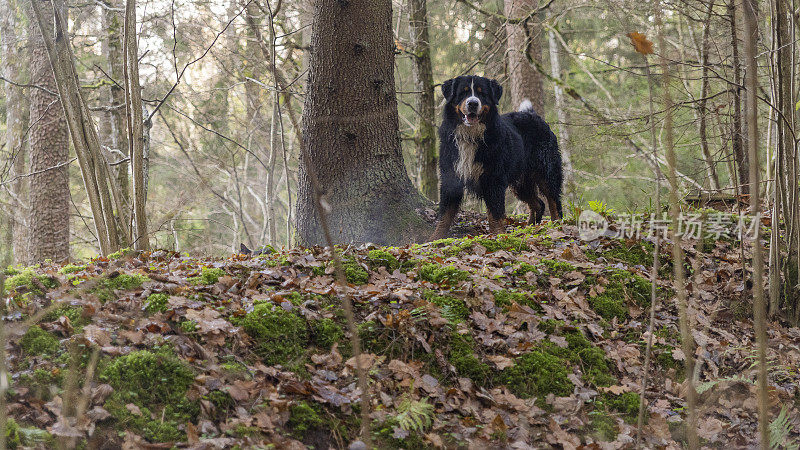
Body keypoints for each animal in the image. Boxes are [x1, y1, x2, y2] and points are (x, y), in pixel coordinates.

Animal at [432, 75, 564, 241]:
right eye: (463, 92)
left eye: (482, 94)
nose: (473, 103)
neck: (470, 136)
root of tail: (533, 115)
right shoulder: (451, 177)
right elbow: (445, 214)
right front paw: (435, 238)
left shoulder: (493, 178)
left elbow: (495, 213)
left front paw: (498, 236)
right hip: (521, 182)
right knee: (539, 203)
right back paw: (529, 228)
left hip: (546, 171)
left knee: (554, 200)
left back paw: (557, 225)